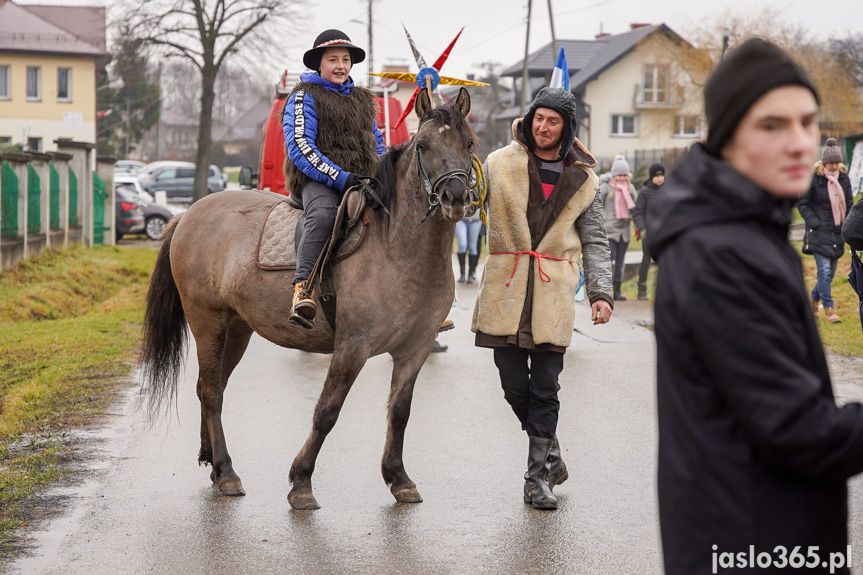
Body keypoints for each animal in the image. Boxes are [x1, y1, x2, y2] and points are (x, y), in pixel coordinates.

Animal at [143, 86, 480, 508]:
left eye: (469, 143)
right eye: (423, 145)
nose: (455, 197)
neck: (397, 248)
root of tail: (188, 213)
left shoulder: (414, 351)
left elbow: (399, 413)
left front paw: (399, 478)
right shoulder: (352, 348)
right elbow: (327, 412)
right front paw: (301, 482)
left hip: (236, 330)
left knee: (211, 388)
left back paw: (214, 464)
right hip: (208, 322)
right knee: (211, 391)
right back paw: (227, 472)